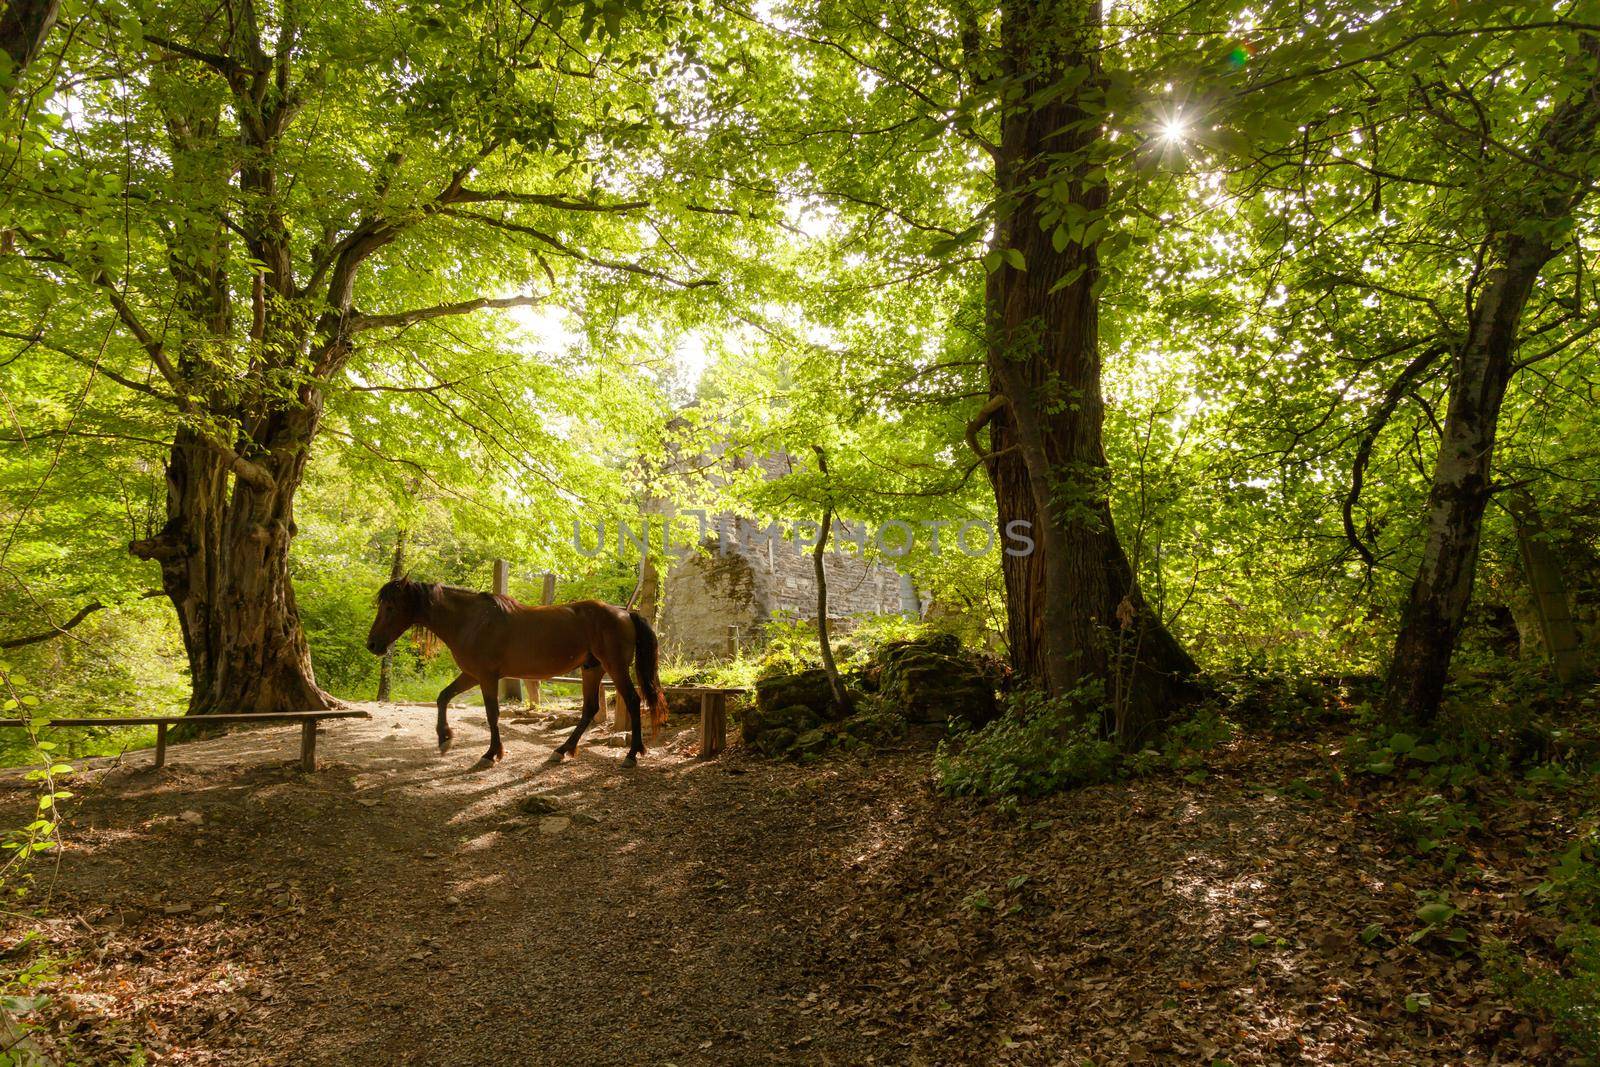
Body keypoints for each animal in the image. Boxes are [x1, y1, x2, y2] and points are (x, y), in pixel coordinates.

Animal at [366, 579, 668, 771]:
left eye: (390, 608)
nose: (372, 644)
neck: (470, 621)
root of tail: (625, 613)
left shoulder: (486, 677)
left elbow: (492, 714)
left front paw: (491, 754)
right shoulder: (471, 675)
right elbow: (443, 697)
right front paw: (444, 739)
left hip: (614, 667)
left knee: (632, 701)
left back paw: (632, 754)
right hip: (592, 669)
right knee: (590, 709)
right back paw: (562, 750)